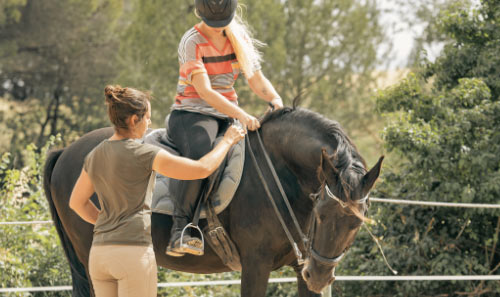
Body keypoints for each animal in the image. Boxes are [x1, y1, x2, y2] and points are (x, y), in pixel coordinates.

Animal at [45, 105, 384, 294]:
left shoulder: (302, 269)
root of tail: (67, 151)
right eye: (322, 213)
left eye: (356, 223)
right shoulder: (255, 265)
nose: (320, 276)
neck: (279, 173)